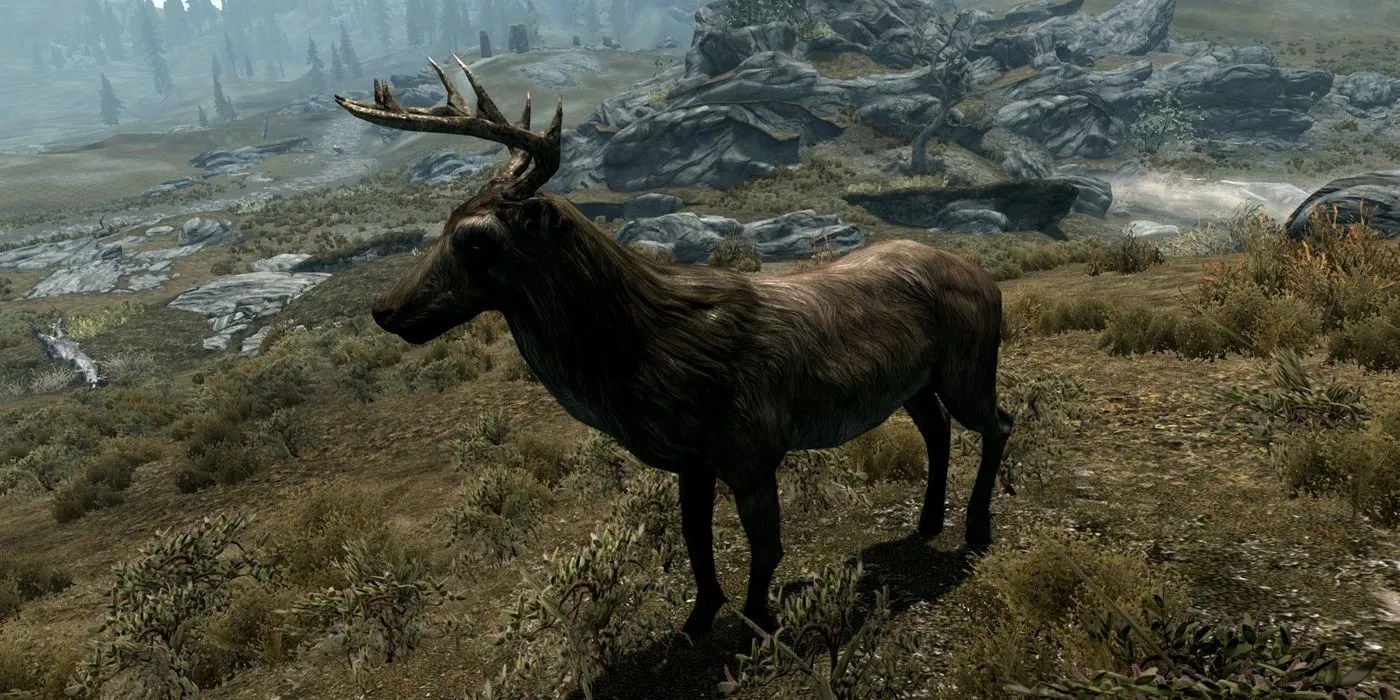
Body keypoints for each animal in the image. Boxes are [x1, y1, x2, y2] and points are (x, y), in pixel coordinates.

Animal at [336, 56, 1015, 651]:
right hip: (914, 384)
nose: (385, 311)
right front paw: (695, 622)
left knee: (999, 422)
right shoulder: (693, 459)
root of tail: (987, 280)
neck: (649, 352)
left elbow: (766, 546)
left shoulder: (752, 446)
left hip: (969, 364)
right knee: (937, 430)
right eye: (446, 220)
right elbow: (695, 540)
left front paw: (757, 627)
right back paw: (927, 523)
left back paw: (976, 529)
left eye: (477, 240)